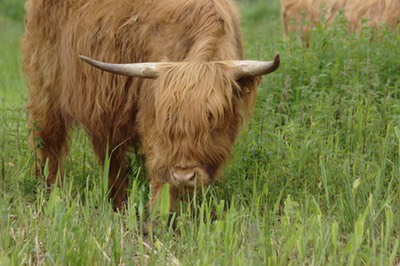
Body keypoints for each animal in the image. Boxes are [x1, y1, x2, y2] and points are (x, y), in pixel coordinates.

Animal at [21, 0, 278, 212]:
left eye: (212, 117)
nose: (184, 176)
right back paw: (50, 193)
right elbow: (160, 169)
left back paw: (118, 203)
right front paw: (159, 218)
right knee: (48, 141)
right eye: (167, 119)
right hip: (45, 87)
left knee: (110, 154)